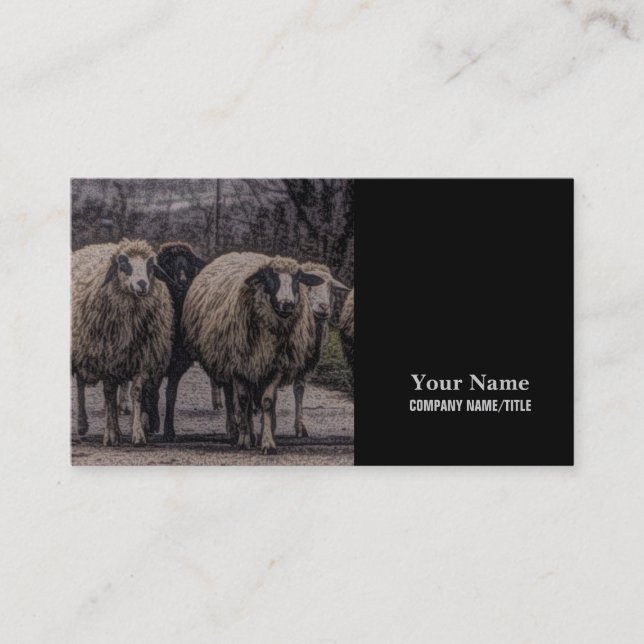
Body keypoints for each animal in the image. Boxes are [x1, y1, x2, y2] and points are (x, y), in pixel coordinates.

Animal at [72, 239, 173, 446]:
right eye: (124, 263)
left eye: (150, 265)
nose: (142, 284)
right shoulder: (105, 357)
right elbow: (109, 393)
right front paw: (111, 434)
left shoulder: (142, 357)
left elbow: (136, 392)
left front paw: (138, 433)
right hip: (83, 348)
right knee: (80, 385)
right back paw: (82, 424)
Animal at [182, 252, 324, 454]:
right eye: (270, 277)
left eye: (297, 279)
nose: (287, 305)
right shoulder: (238, 366)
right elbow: (242, 401)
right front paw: (244, 440)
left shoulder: (275, 366)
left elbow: (267, 402)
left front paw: (267, 442)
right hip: (229, 362)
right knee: (233, 398)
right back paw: (236, 431)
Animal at [292, 262, 349, 437]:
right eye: (308, 286)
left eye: (330, 286)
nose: (324, 307)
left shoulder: (304, 362)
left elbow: (299, 389)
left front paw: (300, 427)